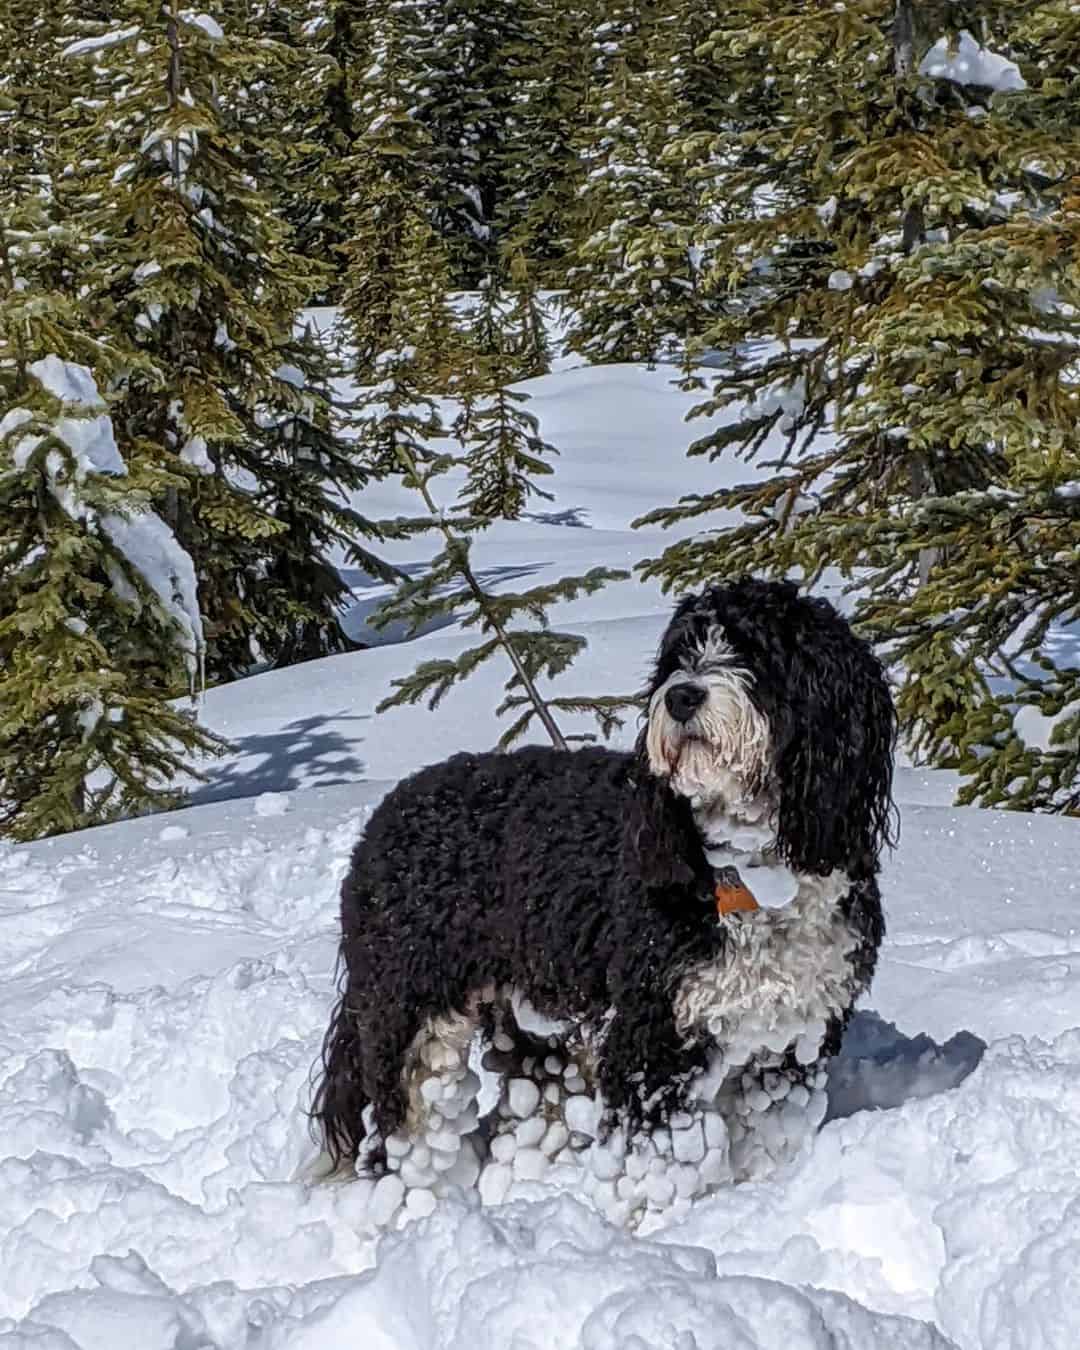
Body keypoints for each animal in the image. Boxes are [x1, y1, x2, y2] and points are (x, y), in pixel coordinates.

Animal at [310, 575, 896, 1231]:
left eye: (757, 651)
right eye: (679, 655)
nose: (682, 697)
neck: (747, 873)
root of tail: (383, 819)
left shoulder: (790, 1041)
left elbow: (768, 1133)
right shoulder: (654, 1036)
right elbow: (656, 1163)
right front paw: (652, 1231)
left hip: (533, 1018)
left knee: (530, 1109)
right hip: (411, 1008)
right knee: (403, 1128)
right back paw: (412, 1213)